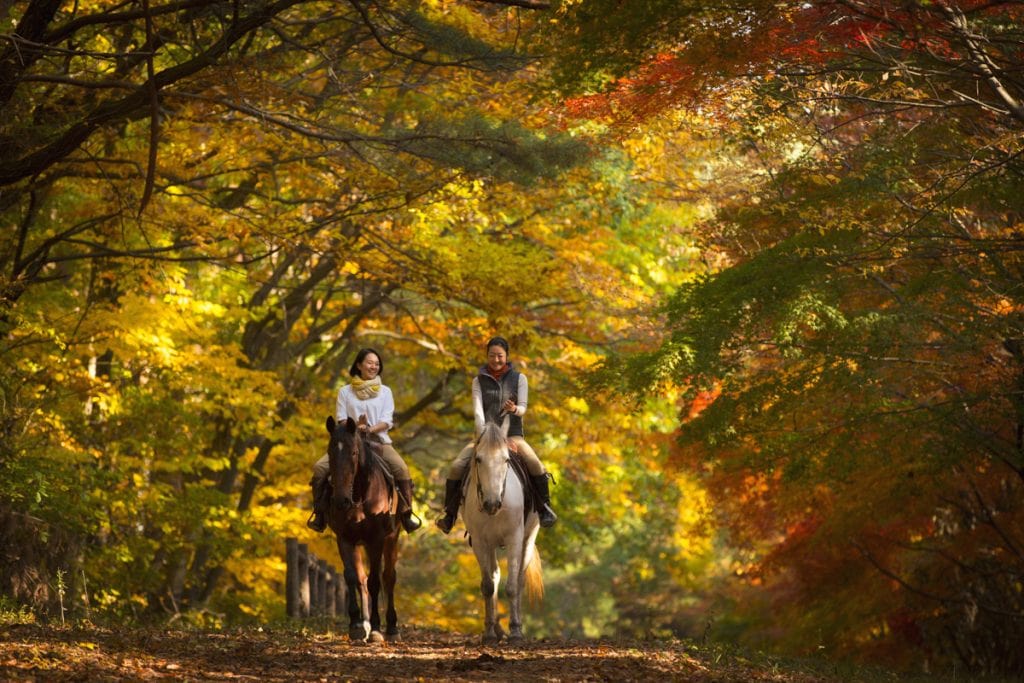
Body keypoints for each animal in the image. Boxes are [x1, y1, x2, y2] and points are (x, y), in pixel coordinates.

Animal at [323, 413, 399, 643]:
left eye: (354, 452)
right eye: (330, 451)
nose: (341, 500)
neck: (358, 494)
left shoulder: (377, 539)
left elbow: (375, 581)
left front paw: (375, 628)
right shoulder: (344, 537)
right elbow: (351, 577)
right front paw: (356, 624)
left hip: (392, 538)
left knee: (388, 577)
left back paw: (392, 627)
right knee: (362, 580)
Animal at [462, 419, 544, 643]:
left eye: (506, 459)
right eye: (478, 459)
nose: (491, 503)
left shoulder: (514, 539)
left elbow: (512, 585)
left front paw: (515, 631)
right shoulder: (480, 542)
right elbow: (488, 586)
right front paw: (489, 633)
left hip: (528, 539)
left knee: (520, 579)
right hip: (490, 545)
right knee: (495, 575)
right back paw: (497, 629)